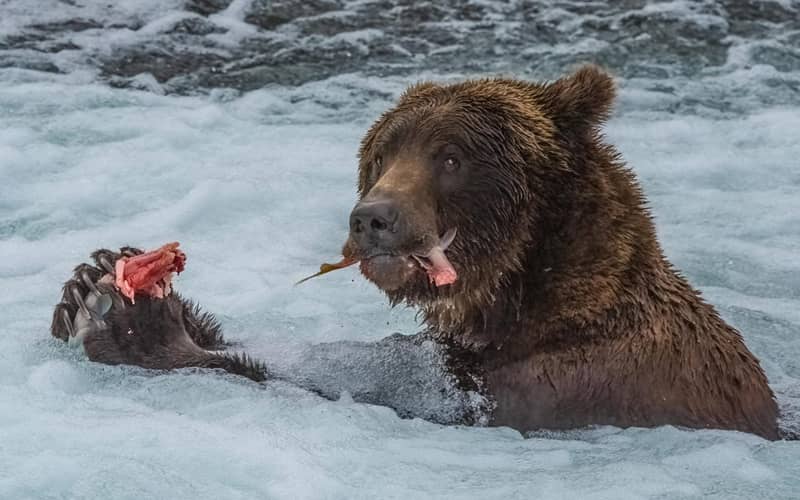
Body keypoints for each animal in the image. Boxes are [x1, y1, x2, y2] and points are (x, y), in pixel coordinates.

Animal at [53, 64, 780, 440]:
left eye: (452, 156)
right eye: (383, 152)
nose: (373, 219)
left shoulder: (575, 381)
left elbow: (374, 390)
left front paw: (130, 319)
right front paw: (93, 278)